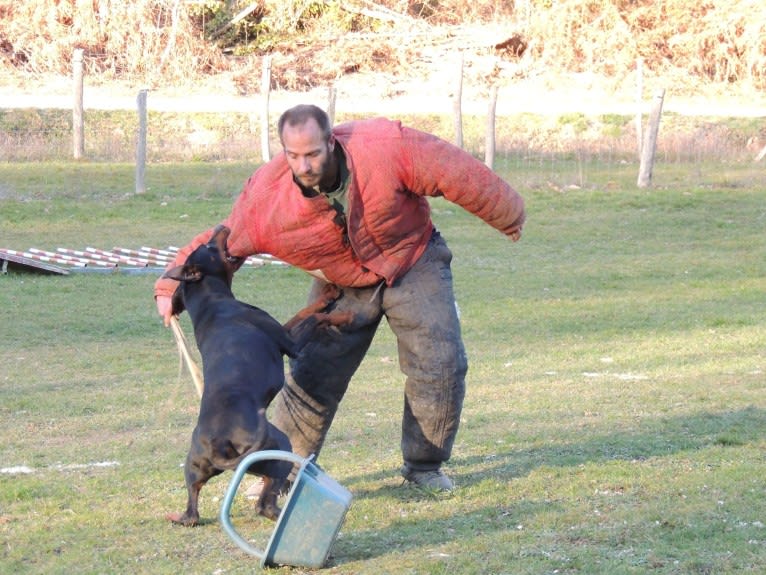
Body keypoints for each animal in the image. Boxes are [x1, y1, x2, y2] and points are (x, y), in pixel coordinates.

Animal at [165, 225, 354, 528]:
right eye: (209, 246)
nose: (221, 227)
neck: (211, 302)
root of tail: (219, 447)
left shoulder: (286, 331)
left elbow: (305, 312)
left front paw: (329, 295)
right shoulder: (290, 343)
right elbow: (316, 318)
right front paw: (344, 316)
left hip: (194, 469)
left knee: (193, 509)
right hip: (279, 448)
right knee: (265, 503)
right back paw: (284, 514)